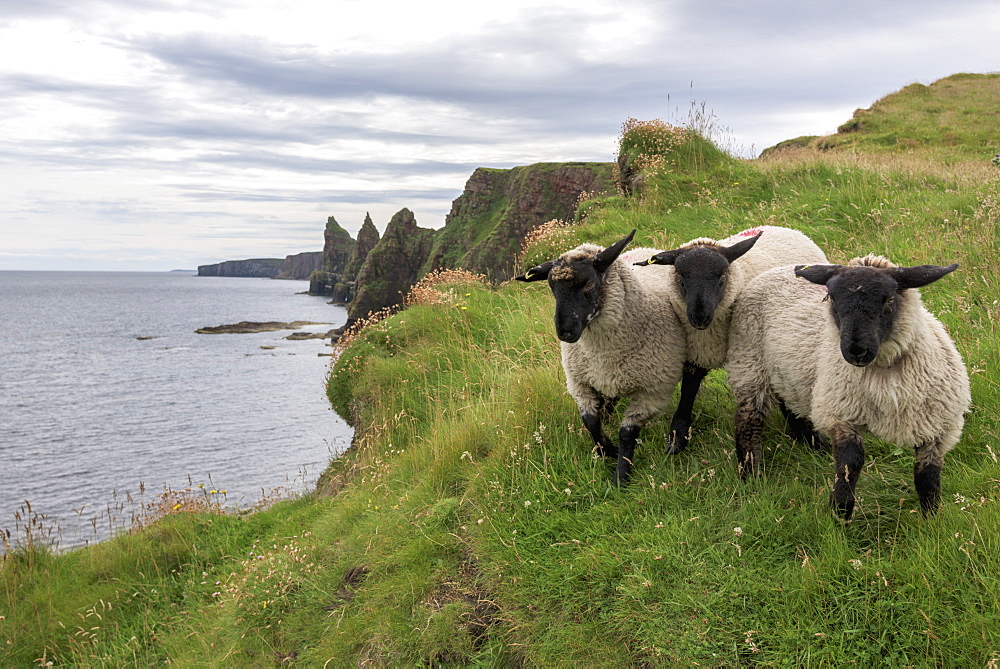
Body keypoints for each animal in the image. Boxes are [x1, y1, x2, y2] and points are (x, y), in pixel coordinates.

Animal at [516, 230, 688, 486]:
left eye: (589, 283)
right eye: (552, 288)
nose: (565, 332)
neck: (602, 351)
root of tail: (646, 249)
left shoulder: (653, 392)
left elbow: (627, 433)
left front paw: (621, 475)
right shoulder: (579, 382)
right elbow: (591, 422)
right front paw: (606, 450)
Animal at [632, 226, 828, 454]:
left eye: (722, 278)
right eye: (681, 279)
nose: (699, 317)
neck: (709, 333)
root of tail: (785, 228)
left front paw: (810, 437)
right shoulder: (695, 350)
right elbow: (688, 390)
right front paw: (677, 438)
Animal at [728, 253, 968, 520]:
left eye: (889, 299)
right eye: (832, 297)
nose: (856, 350)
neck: (885, 377)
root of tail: (775, 270)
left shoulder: (940, 429)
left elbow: (927, 476)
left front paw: (931, 517)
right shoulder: (840, 413)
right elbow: (850, 464)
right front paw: (840, 512)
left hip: (789, 373)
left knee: (791, 406)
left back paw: (815, 446)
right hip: (749, 365)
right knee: (749, 422)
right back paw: (751, 474)